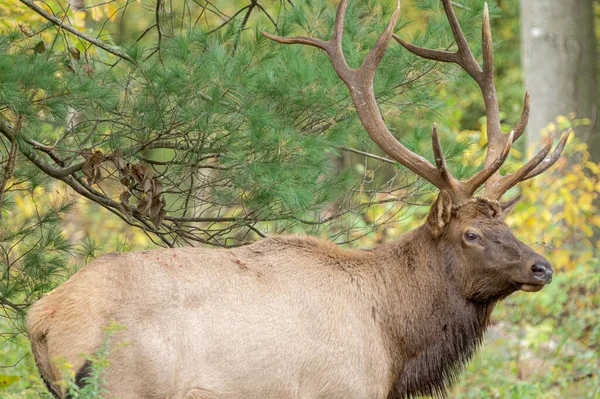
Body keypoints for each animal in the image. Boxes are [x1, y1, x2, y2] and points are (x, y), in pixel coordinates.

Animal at [29, 0, 572, 399]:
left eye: (507, 224)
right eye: (472, 234)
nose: (542, 267)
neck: (394, 345)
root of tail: (41, 317)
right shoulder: (341, 390)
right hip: (120, 383)